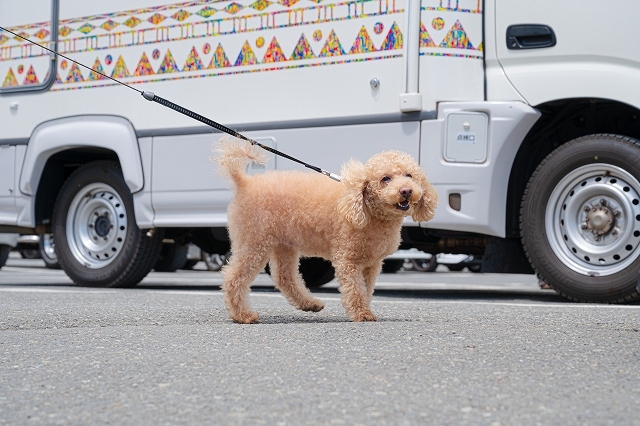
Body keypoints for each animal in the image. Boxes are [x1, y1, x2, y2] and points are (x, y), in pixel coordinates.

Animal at [214, 137, 436, 322]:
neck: (365, 209)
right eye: (385, 179)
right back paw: (242, 315)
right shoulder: (348, 259)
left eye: (409, 175)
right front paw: (362, 314)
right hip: (254, 241)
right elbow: (355, 289)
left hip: (284, 243)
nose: (406, 191)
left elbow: (365, 288)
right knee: (233, 277)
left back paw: (309, 304)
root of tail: (245, 183)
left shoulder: (371, 263)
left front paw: (364, 309)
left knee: (284, 277)